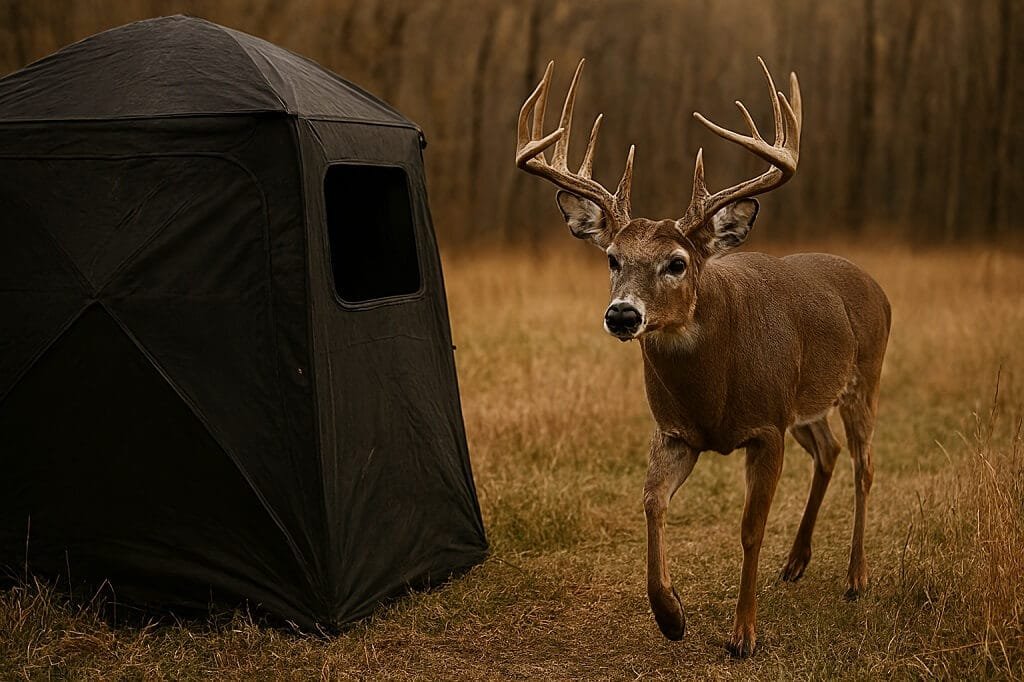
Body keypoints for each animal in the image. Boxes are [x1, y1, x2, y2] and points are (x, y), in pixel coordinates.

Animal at [514, 58, 891, 658]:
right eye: (612, 258)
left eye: (677, 262)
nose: (623, 315)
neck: (713, 390)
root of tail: (876, 286)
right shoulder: (676, 430)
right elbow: (651, 502)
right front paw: (671, 615)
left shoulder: (766, 427)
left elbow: (750, 529)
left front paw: (743, 635)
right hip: (804, 406)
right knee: (829, 451)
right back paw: (796, 563)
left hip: (864, 379)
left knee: (865, 463)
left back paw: (856, 578)